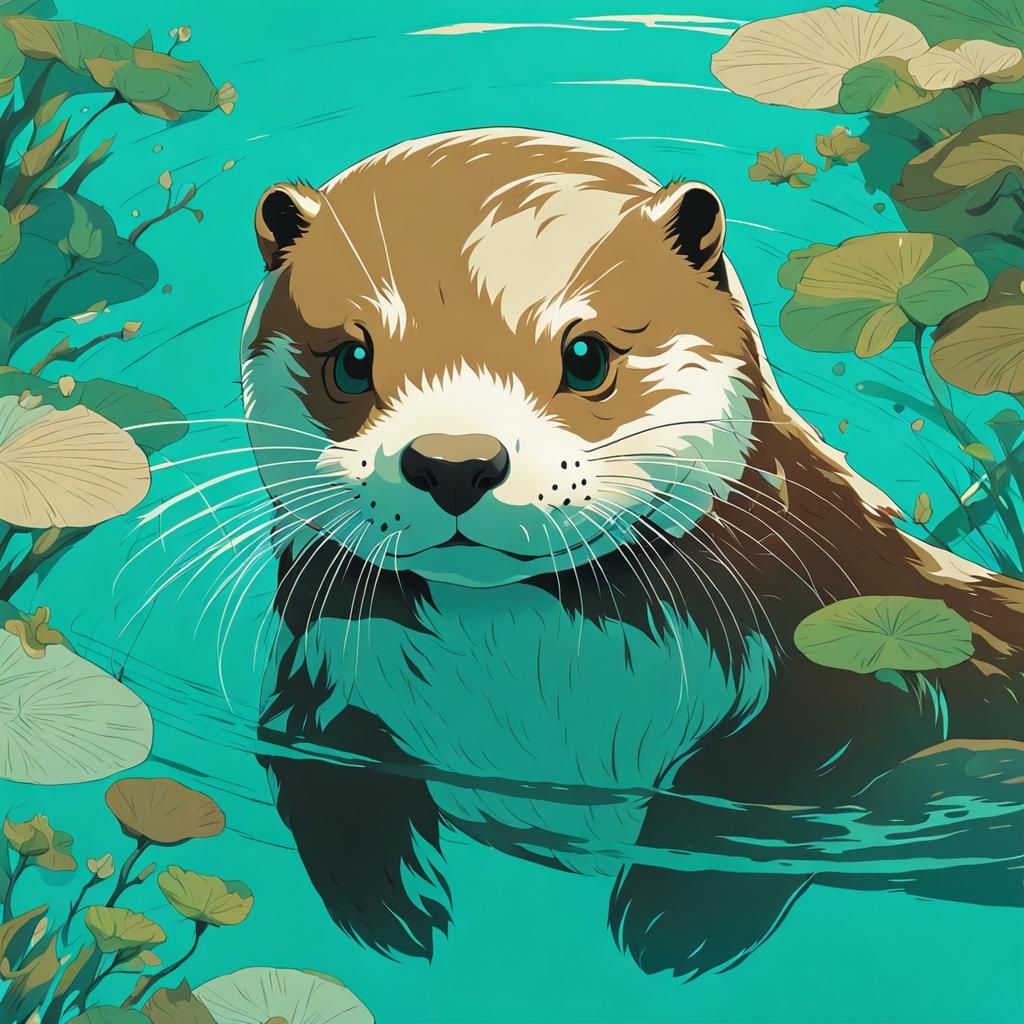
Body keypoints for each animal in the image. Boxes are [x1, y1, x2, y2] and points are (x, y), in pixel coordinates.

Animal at [242, 128, 1024, 977]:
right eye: (351, 361)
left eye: (586, 356)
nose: (454, 462)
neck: (536, 700)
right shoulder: (315, 671)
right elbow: (314, 760)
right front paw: (386, 897)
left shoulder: (865, 659)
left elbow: (776, 792)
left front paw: (677, 918)